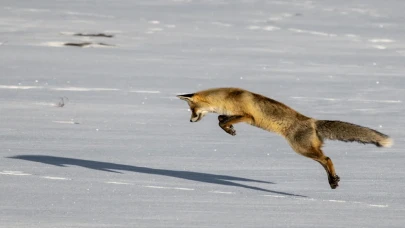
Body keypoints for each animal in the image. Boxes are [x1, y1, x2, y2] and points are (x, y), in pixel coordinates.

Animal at [177, 87, 392, 189]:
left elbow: (222, 121)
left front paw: (228, 129)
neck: (227, 97)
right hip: (306, 149)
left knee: (327, 159)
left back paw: (332, 180)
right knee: (325, 159)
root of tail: (312, 121)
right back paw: (334, 180)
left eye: (192, 109)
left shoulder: (248, 116)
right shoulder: (236, 115)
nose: (190, 121)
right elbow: (221, 119)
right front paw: (230, 129)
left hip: (301, 149)